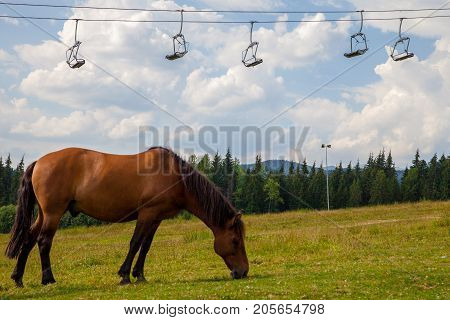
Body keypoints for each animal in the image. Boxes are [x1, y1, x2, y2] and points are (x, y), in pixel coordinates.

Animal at [5, 148, 248, 288]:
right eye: (235, 241)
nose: (243, 272)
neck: (175, 175)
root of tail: (38, 162)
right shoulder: (147, 214)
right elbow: (135, 243)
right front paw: (124, 275)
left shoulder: (156, 218)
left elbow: (146, 246)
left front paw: (139, 275)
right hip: (53, 214)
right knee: (43, 242)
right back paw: (48, 280)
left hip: (43, 214)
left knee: (28, 239)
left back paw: (18, 278)